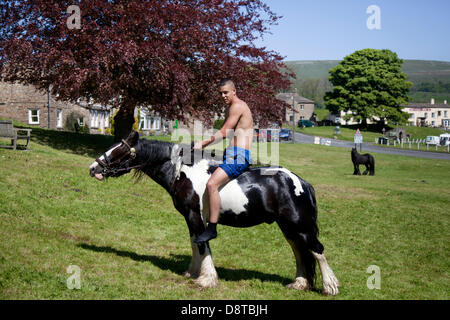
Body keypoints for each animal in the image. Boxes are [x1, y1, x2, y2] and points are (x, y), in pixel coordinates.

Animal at [89, 131, 340, 296]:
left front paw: (206, 279)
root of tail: (301, 182)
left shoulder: (195, 216)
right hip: (288, 227)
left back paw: (330, 287)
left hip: (300, 225)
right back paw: (299, 284)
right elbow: (194, 242)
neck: (182, 172)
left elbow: (202, 244)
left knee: (317, 251)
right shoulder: (189, 217)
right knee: (299, 252)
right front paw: (192, 272)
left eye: (118, 151)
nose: (93, 168)